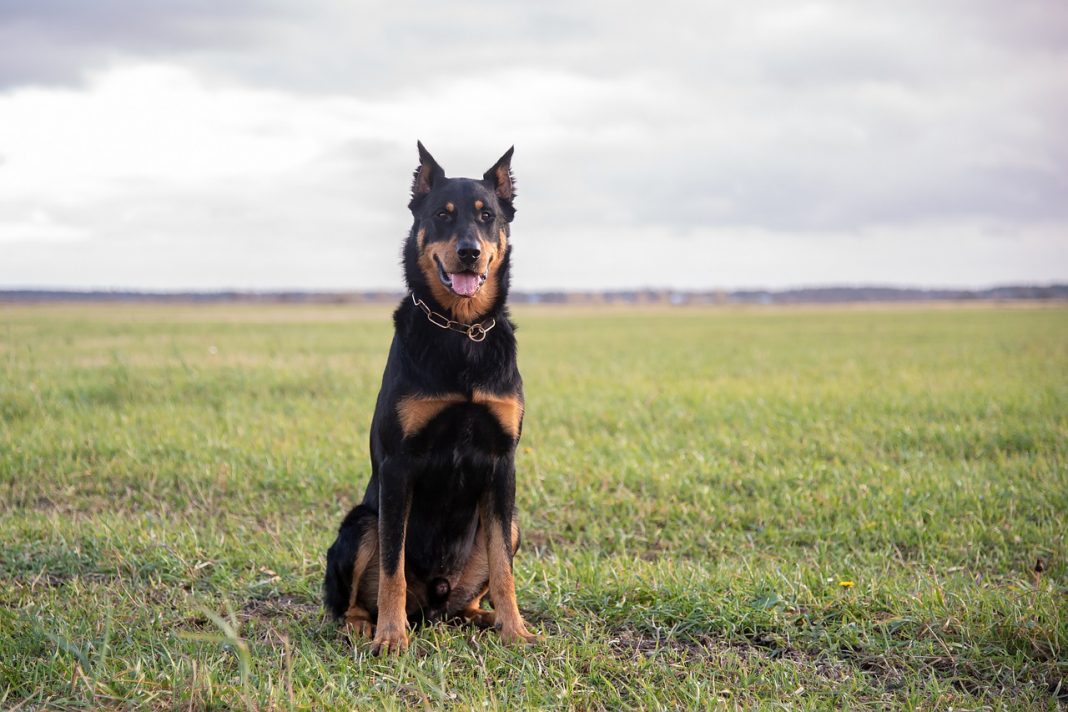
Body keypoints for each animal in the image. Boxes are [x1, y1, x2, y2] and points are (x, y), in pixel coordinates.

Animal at [316, 141, 534, 653]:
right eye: (441, 215)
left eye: (487, 216)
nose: (469, 252)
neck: (461, 330)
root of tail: (433, 604)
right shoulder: (399, 467)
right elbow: (391, 568)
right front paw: (392, 638)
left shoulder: (502, 464)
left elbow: (503, 567)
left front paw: (514, 629)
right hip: (360, 524)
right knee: (353, 598)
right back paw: (365, 625)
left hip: (511, 524)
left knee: (476, 590)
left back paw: (484, 617)